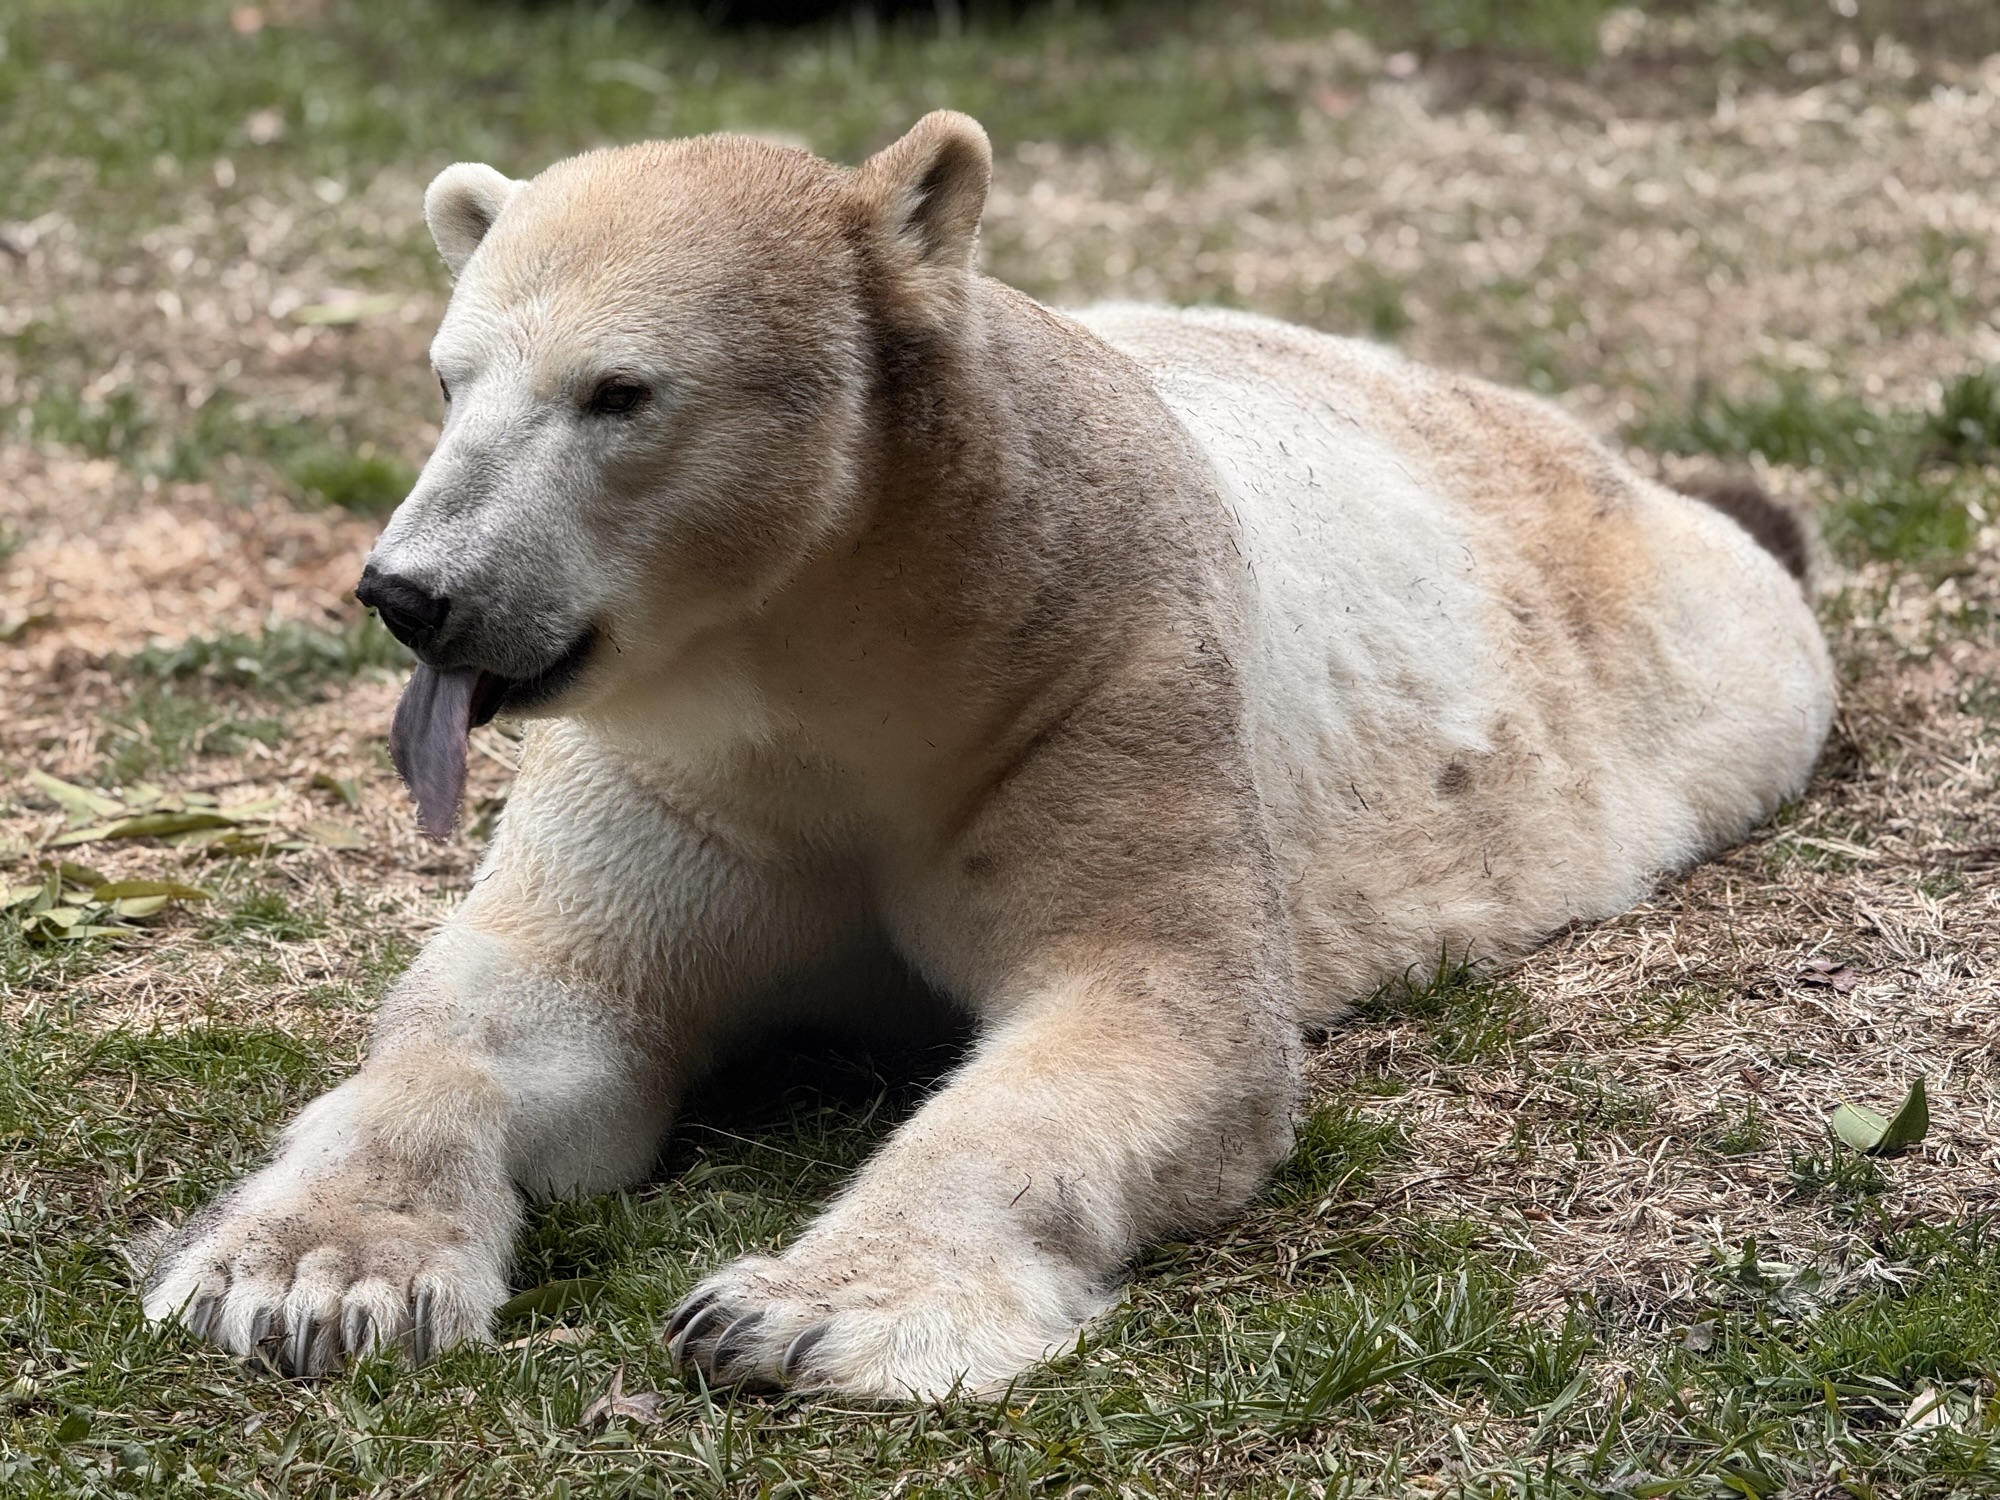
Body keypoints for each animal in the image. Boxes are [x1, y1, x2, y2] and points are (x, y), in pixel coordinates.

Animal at [140, 111, 1834, 1400]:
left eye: (619, 393)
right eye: (448, 379)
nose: (412, 592)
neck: (856, 648)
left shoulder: (1091, 686)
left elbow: (1143, 1007)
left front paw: (789, 1314)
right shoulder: (679, 769)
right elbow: (532, 1000)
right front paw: (301, 1279)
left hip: (1690, 660)